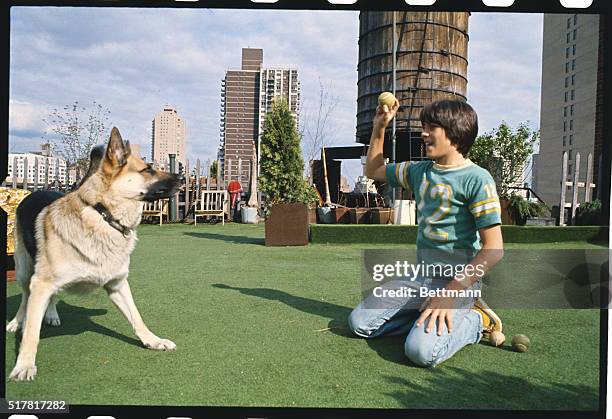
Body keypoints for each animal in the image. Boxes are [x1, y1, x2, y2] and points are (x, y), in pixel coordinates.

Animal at [7, 127, 179, 380]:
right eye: (148, 169)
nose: (183, 178)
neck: (103, 215)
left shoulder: (118, 286)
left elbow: (137, 317)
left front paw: (152, 340)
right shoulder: (40, 283)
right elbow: (31, 333)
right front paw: (24, 365)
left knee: (51, 297)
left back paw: (51, 314)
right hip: (24, 271)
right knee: (25, 298)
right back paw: (16, 321)